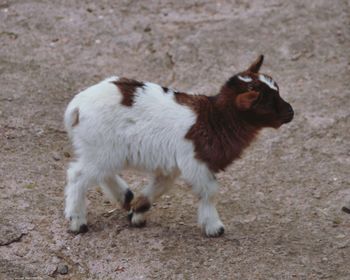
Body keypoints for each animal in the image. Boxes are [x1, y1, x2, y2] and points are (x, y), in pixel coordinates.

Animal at [64, 54, 294, 236]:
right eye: (266, 103)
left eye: (278, 90)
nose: (291, 112)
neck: (214, 119)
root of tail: (76, 106)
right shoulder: (195, 161)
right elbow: (209, 191)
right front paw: (214, 228)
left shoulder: (171, 165)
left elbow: (159, 187)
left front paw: (137, 212)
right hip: (102, 147)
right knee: (78, 175)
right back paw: (77, 222)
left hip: (103, 149)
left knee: (101, 172)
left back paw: (125, 196)